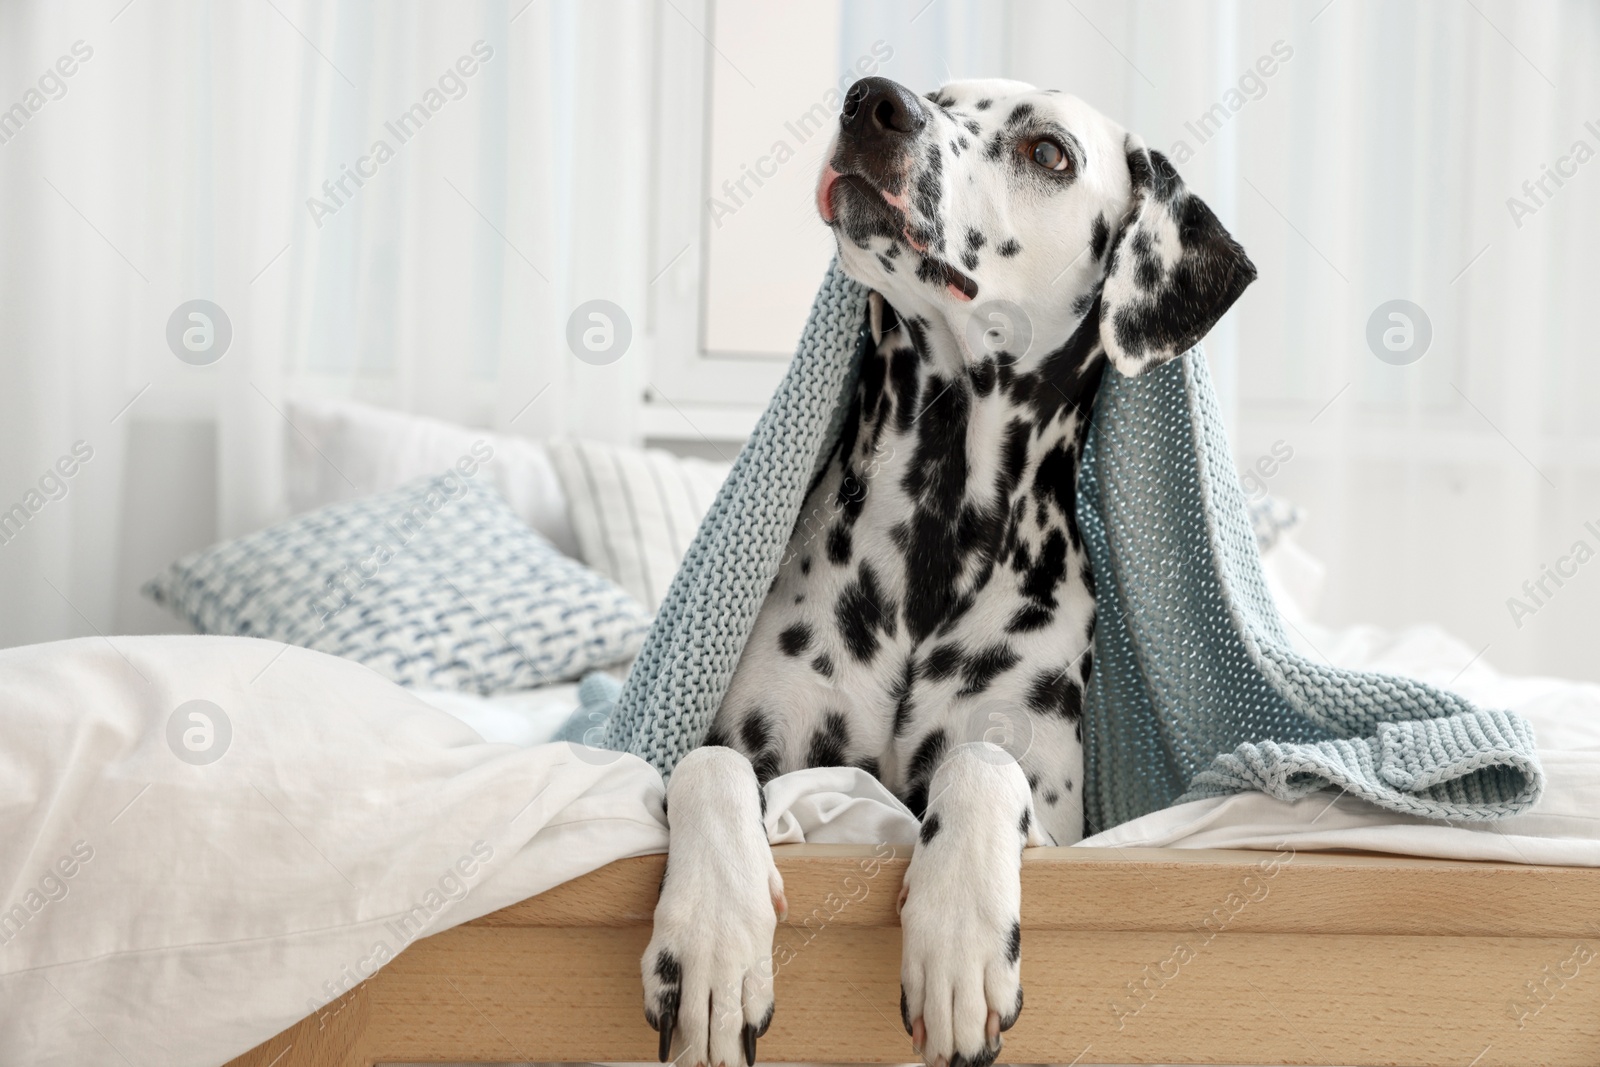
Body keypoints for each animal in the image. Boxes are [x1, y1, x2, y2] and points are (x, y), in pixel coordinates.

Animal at [643, 75, 1254, 1067]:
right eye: (939, 96)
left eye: (1050, 152)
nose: (874, 102)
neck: (935, 529)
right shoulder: (755, 742)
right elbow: (706, 762)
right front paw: (709, 941)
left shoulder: (1053, 812)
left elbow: (981, 762)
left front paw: (960, 938)